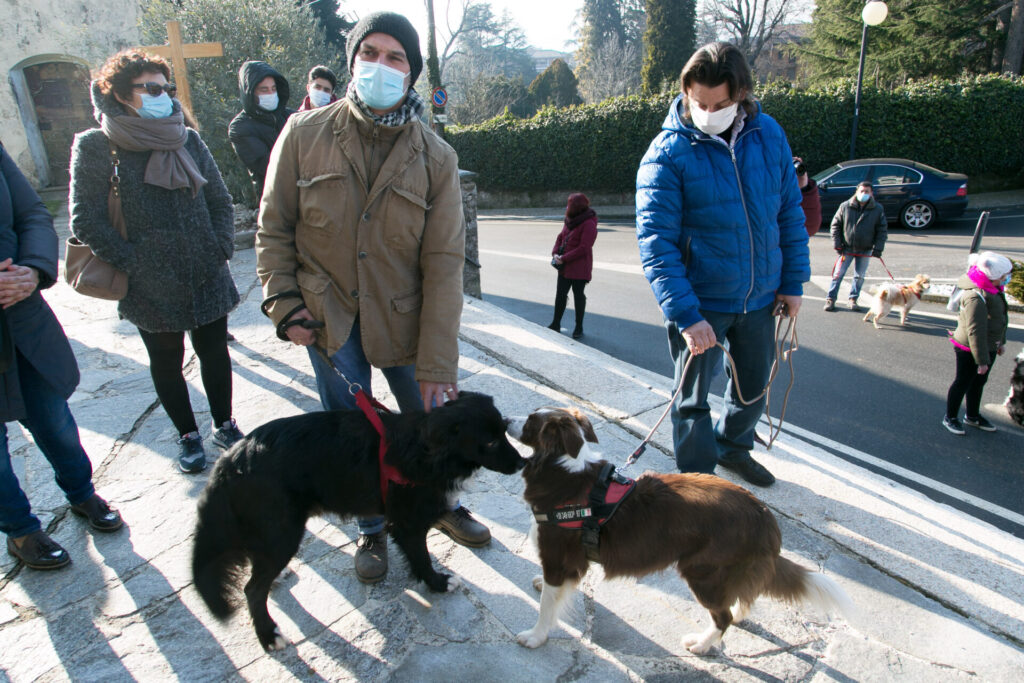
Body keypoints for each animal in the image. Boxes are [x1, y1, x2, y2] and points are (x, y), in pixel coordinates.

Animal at [192, 393, 524, 651]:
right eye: (490, 441)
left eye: (504, 430)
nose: (522, 463)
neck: (429, 451)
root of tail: (231, 459)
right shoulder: (407, 523)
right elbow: (422, 557)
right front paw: (438, 583)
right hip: (283, 531)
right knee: (252, 590)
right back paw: (268, 634)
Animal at [507, 409, 851, 655]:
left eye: (530, 421)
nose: (506, 419)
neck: (563, 466)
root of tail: (764, 518)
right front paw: (541, 587)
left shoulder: (558, 556)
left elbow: (548, 605)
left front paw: (535, 636)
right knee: (740, 600)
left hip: (703, 572)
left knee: (723, 617)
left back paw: (701, 644)